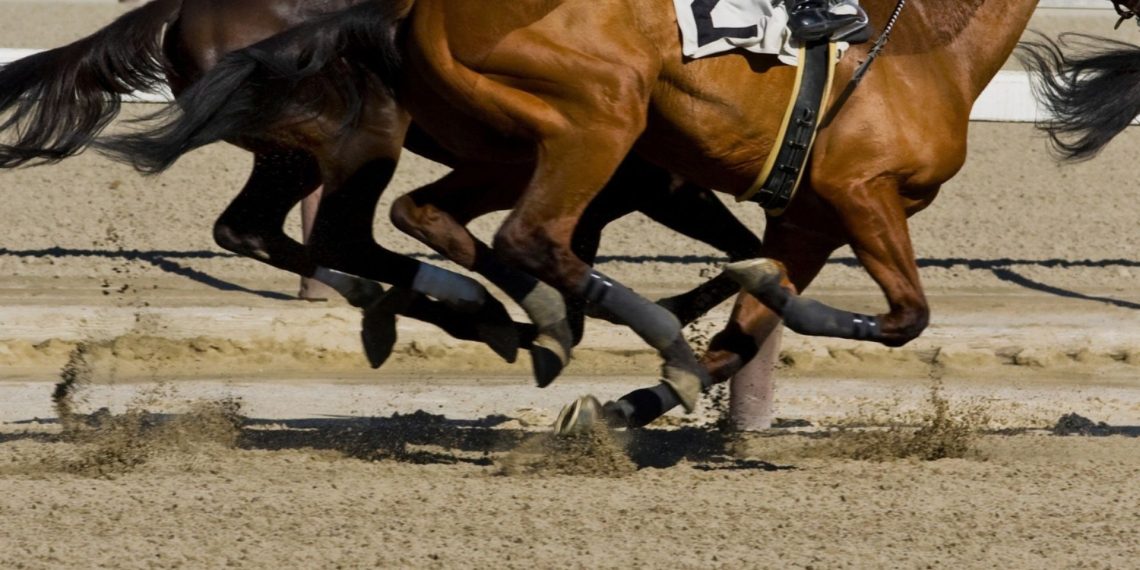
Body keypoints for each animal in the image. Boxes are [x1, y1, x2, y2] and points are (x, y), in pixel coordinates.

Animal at [0, 0, 768, 381]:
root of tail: (178, 8)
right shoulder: (655, 180)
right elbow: (740, 250)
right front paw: (657, 316)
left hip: (294, 151)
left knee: (252, 229)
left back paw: (417, 305)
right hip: (353, 129)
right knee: (334, 233)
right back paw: (456, 304)